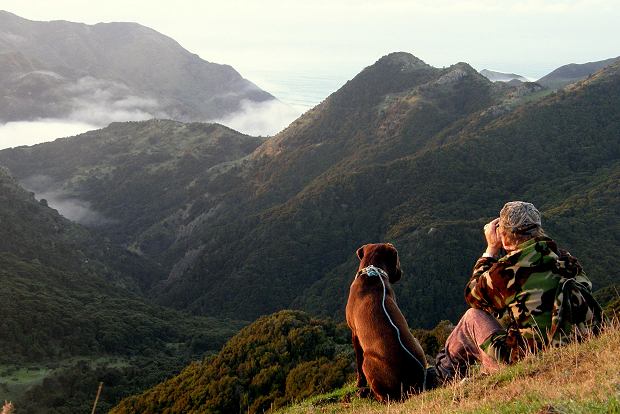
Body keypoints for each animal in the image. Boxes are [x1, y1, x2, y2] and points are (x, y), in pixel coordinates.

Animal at [346, 243, 428, 402]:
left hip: (368, 362)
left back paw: (365, 392)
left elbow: (357, 362)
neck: (371, 273)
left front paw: (359, 384)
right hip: (416, 342)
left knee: (383, 397)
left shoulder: (354, 333)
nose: (401, 272)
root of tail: (413, 380)